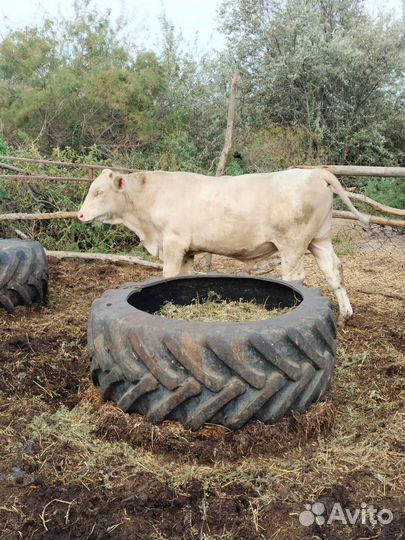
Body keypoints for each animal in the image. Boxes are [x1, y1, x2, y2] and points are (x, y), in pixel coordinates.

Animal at [78, 168, 366, 324]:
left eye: (99, 192)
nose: (80, 215)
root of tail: (314, 171)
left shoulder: (173, 243)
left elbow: (168, 275)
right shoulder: (187, 250)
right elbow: (184, 278)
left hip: (292, 244)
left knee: (296, 277)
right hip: (320, 239)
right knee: (334, 271)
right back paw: (346, 314)